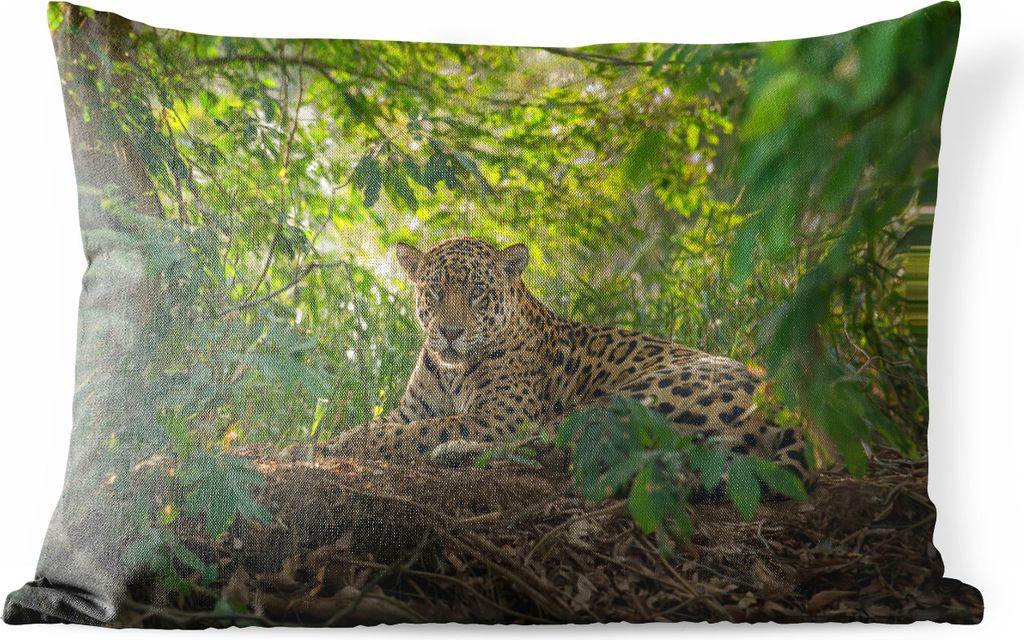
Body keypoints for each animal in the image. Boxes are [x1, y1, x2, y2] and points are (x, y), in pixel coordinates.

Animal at [329, 237, 812, 496]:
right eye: (434, 290)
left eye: (477, 293)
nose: (449, 332)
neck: (451, 370)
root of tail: (780, 409)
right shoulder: (411, 408)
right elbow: (381, 425)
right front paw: (331, 440)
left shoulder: (498, 417)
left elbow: (416, 431)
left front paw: (332, 447)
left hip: (631, 398)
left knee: (567, 450)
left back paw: (454, 453)